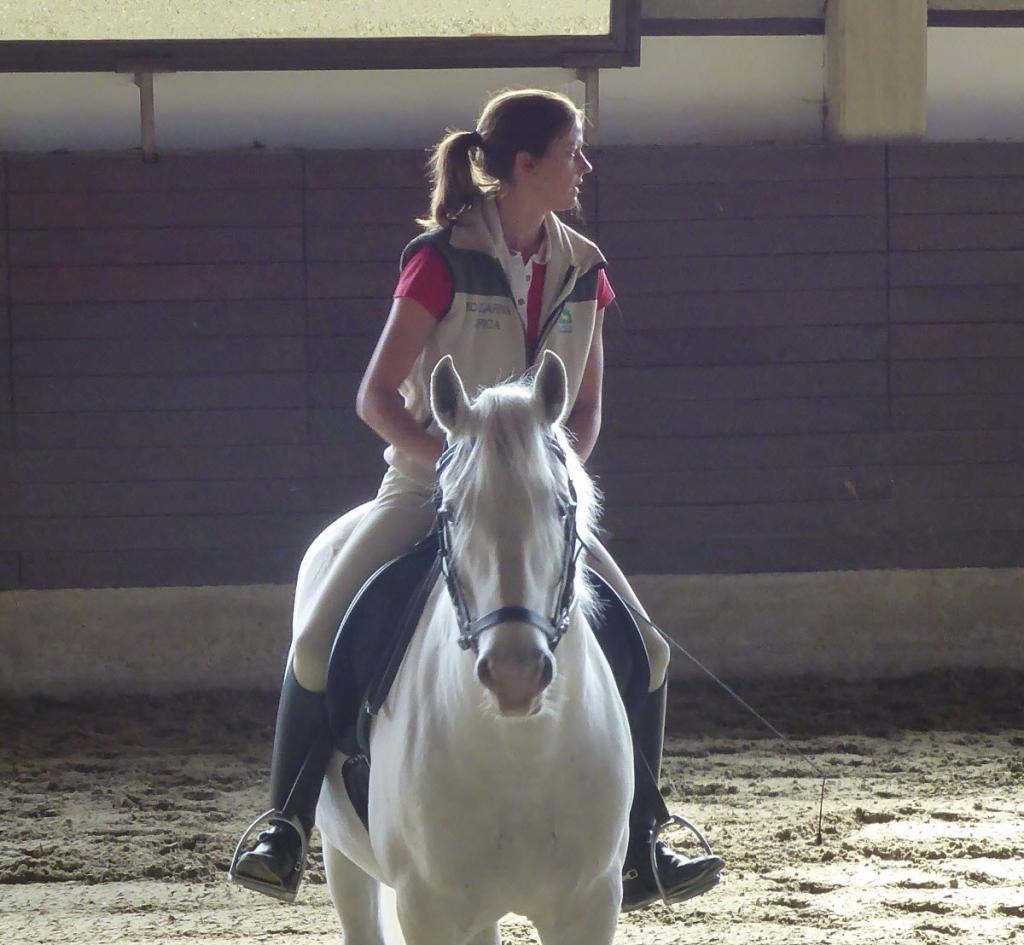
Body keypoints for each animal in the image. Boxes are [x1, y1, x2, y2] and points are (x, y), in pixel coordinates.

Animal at [307, 352, 634, 945]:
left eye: (561, 508)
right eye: (451, 512)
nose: (514, 676)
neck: (519, 751)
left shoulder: (592, 903)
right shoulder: (429, 909)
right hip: (344, 857)